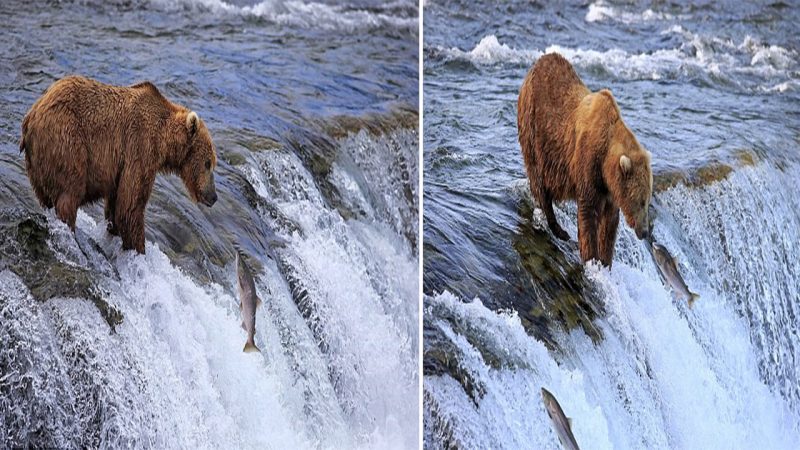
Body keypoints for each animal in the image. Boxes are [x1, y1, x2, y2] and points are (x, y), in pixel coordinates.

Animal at [20, 75, 217, 255]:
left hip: (37, 165)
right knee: (69, 192)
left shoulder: (120, 167)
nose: (213, 196)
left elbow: (116, 204)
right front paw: (138, 250)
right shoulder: (139, 148)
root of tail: (32, 116)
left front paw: (114, 232)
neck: (163, 140)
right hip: (67, 139)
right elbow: (130, 205)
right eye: (208, 163)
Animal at [520, 52, 648, 266]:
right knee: (539, 178)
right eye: (641, 201)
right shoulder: (588, 163)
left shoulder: (610, 189)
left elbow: (610, 222)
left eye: (647, 199)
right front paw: (592, 259)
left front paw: (605, 259)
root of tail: (537, 62)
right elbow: (589, 213)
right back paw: (559, 229)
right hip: (535, 131)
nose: (644, 231)